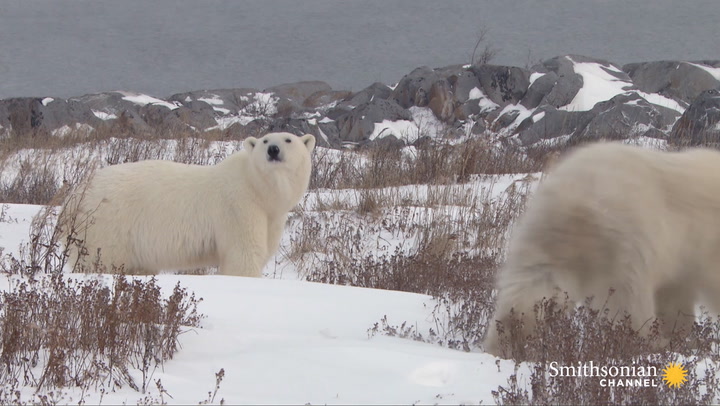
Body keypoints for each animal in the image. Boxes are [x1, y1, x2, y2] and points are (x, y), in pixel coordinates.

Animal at [58, 132, 312, 278]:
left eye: (288, 139)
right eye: (265, 140)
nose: (273, 150)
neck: (258, 187)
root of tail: (74, 197)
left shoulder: (271, 215)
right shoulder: (238, 205)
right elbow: (244, 253)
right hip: (107, 223)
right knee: (101, 259)